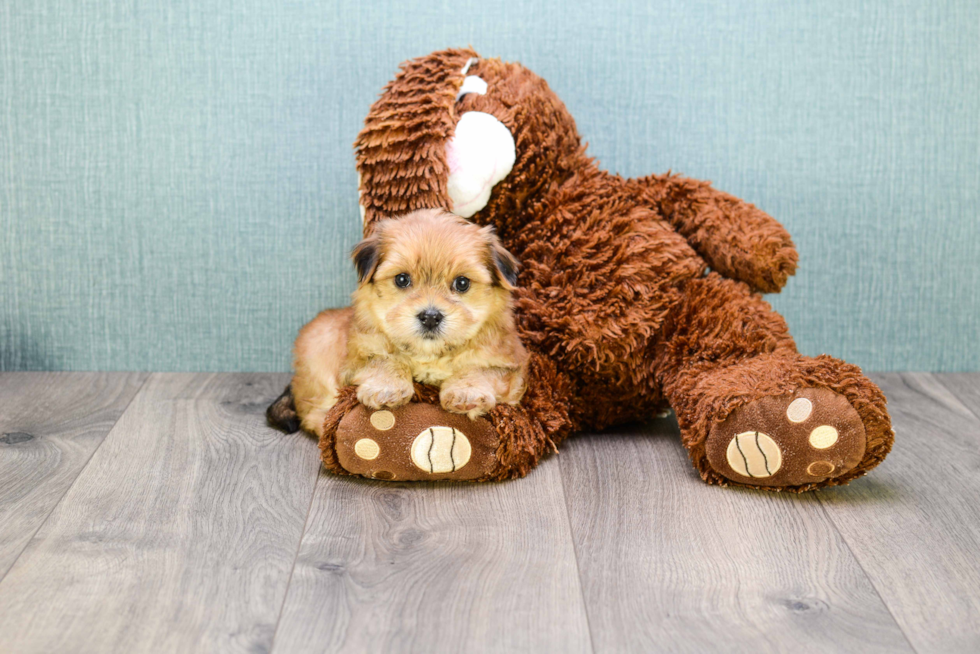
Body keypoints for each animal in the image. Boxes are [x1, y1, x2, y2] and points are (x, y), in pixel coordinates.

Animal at [290, 209, 528, 436]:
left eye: (462, 283)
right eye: (402, 279)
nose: (430, 317)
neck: (429, 354)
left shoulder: (508, 362)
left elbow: (479, 368)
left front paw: (466, 392)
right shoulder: (358, 355)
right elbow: (383, 360)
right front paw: (386, 387)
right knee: (312, 412)